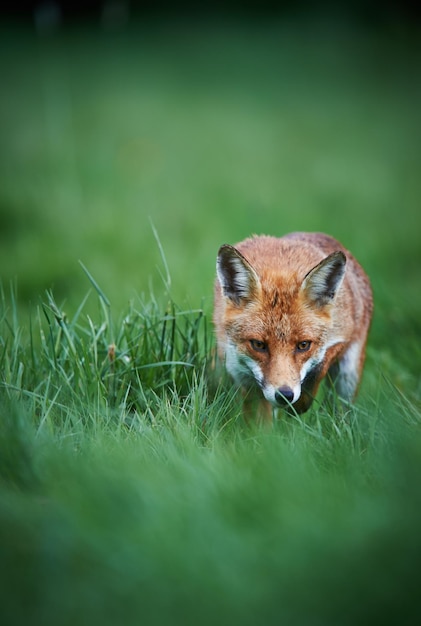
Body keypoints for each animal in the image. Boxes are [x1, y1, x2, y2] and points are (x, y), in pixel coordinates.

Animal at [213, 232, 370, 416]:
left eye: (303, 345)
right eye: (258, 344)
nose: (285, 395)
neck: (280, 267)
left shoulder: (344, 335)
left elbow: (320, 366)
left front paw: (301, 403)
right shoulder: (244, 378)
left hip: (348, 379)